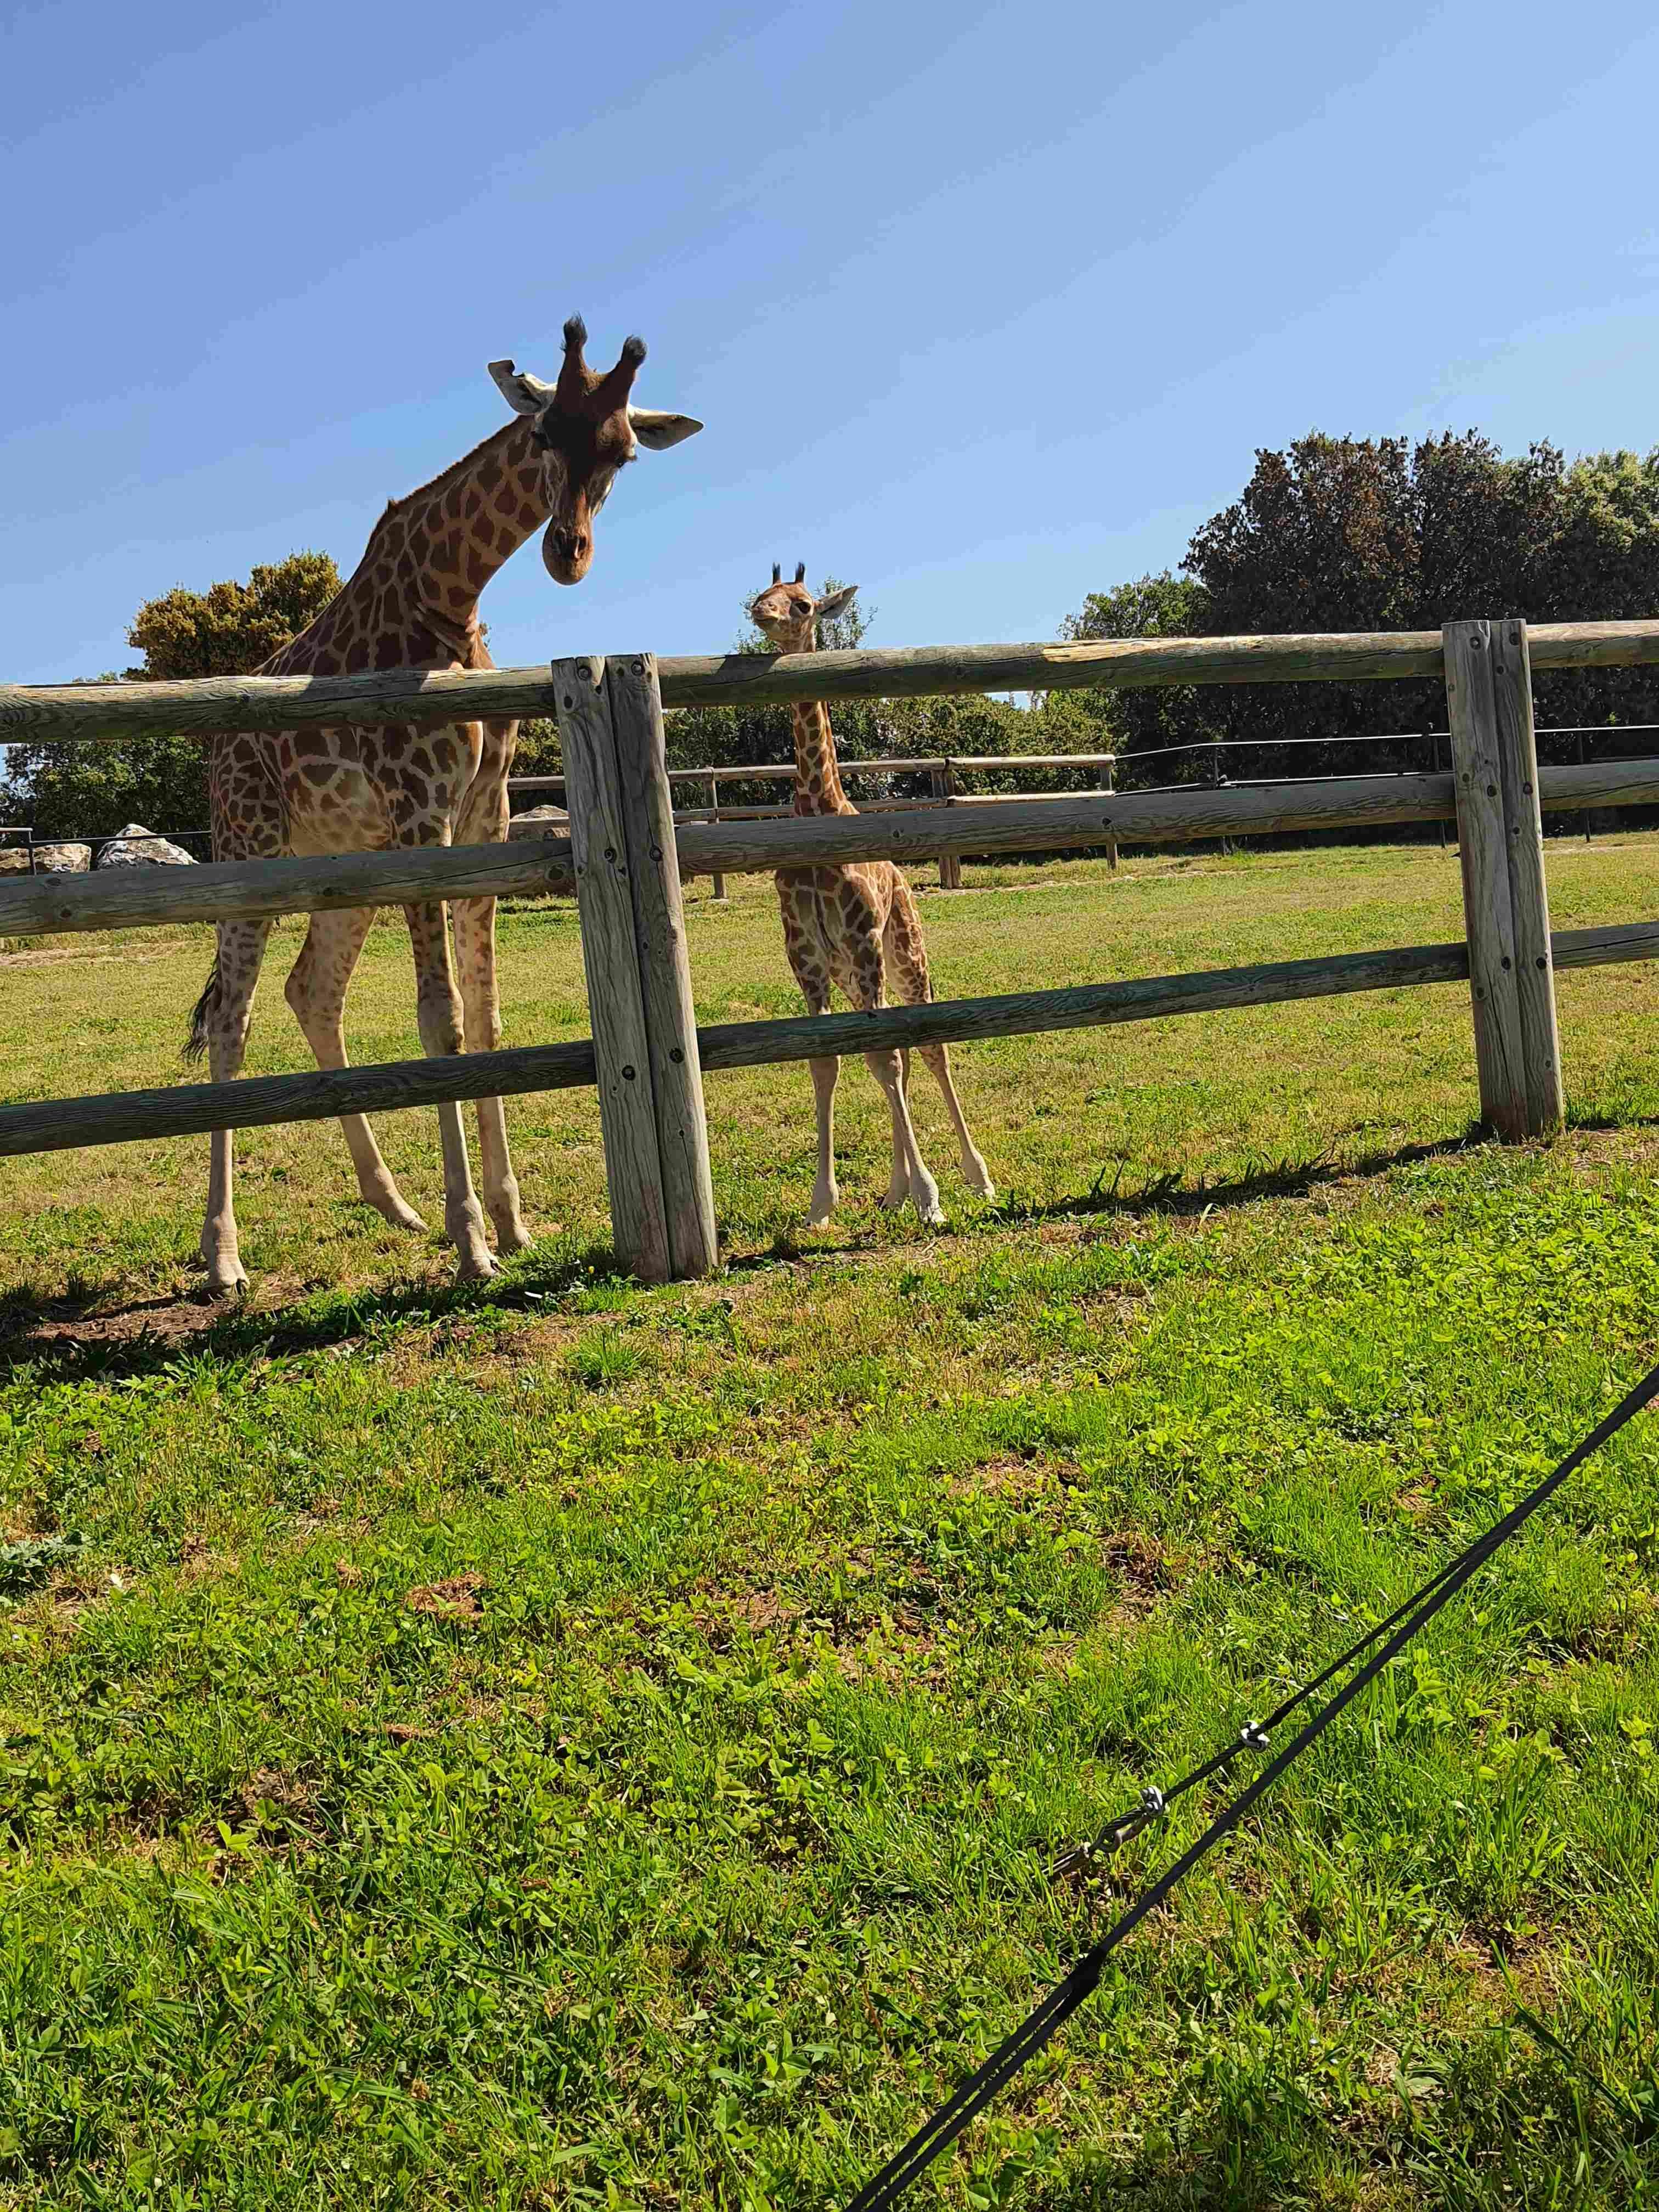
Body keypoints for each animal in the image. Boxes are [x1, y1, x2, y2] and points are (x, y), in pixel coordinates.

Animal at [191, 318, 703, 1291]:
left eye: (621, 452)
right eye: (542, 436)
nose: (567, 554)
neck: (450, 596)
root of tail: (217, 753)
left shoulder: (482, 817)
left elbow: (487, 1012)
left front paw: (510, 1221)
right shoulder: (421, 808)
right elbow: (442, 1019)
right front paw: (473, 1243)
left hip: (342, 864)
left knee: (310, 990)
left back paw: (393, 1203)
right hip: (251, 848)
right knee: (232, 1020)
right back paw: (224, 1255)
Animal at [752, 562, 1000, 1229]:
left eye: (804, 604)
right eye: (763, 593)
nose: (761, 614)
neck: (819, 809)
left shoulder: (863, 939)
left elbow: (885, 1059)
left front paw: (931, 1196)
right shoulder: (805, 956)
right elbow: (829, 1061)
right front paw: (822, 1204)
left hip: (904, 953)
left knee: (928, 1047)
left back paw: (975, 1177)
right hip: (855, 974)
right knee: (898, 1051)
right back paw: (894, 1188)